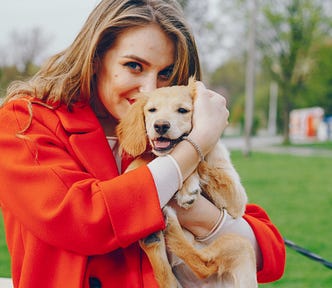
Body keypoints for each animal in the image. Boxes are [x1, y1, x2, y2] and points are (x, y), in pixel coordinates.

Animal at [116, 77, 256, 286]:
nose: (161, 126)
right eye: (152, 110)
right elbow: (148, 157)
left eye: (182, 110)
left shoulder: (237, 200)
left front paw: (188, 188)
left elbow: (198, 160)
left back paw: (171, 226)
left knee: (204, 265)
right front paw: (133, 170)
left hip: (241, 244)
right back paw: (152, 239)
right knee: (167, 278)